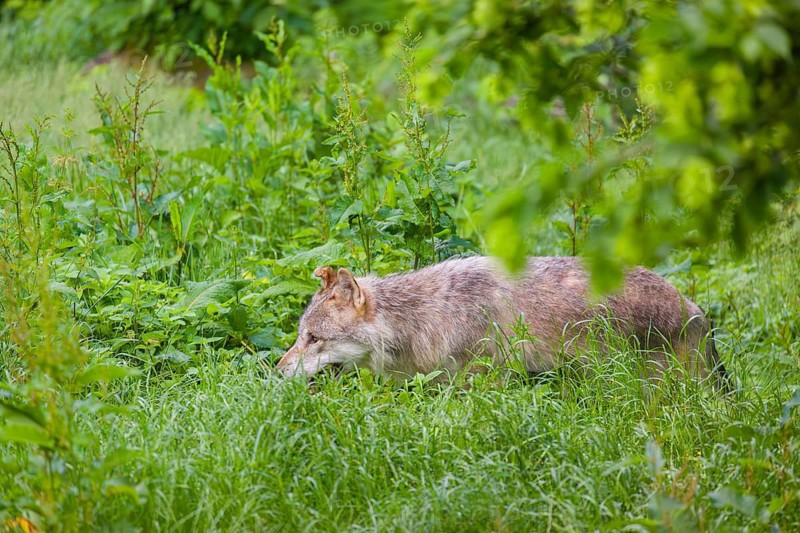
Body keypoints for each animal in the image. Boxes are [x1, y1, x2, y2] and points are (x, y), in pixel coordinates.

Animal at [276, 256, 729, 389]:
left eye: (314, 338)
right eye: (300, 337)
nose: (276, 371)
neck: (426, 316)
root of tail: (695, 308)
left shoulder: (484, 383)